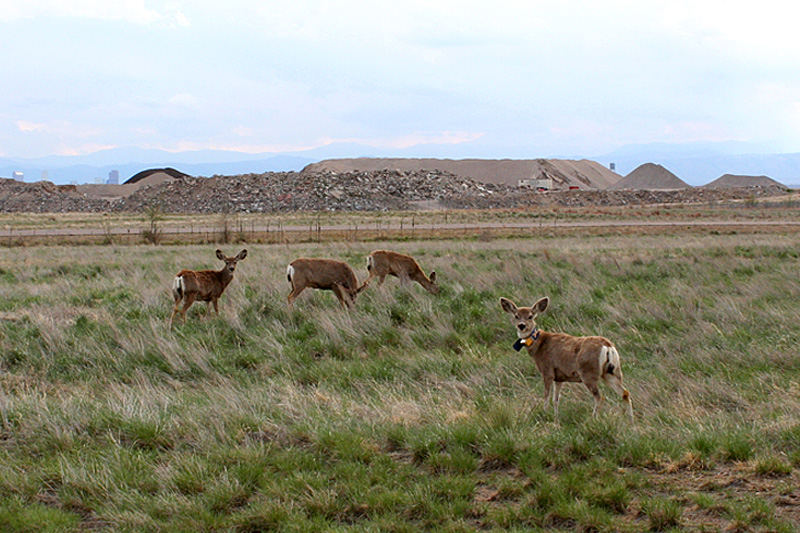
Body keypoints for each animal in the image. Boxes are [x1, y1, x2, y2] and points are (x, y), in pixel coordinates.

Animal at [500, 296, 632, 420]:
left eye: (530, 316)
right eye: (516, 316)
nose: (521, 325)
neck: (539, 345)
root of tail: (608, 346)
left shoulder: (547, 371)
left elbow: (546, 397)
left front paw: (545, 414)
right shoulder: (560, 377)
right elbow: (556, 400)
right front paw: (556, 419)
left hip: (589, 373)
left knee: (600, 397)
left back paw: (593, 419)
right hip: (612, 372)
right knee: (625, 393)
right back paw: (629, 421)